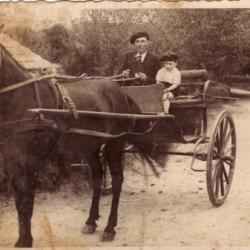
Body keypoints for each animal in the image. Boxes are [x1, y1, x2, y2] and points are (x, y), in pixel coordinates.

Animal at [0, 42, 160, 247]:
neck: (23, 99)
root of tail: (121, 91)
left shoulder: (30, 159)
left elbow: (26, 199)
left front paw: (25, 240)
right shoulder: (12, 157)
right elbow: (20, 198)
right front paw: (22, 239)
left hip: (114, 144)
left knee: (117, 180)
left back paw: (109, 228)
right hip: (90, 146)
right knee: (98, 177)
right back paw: (91, 221)